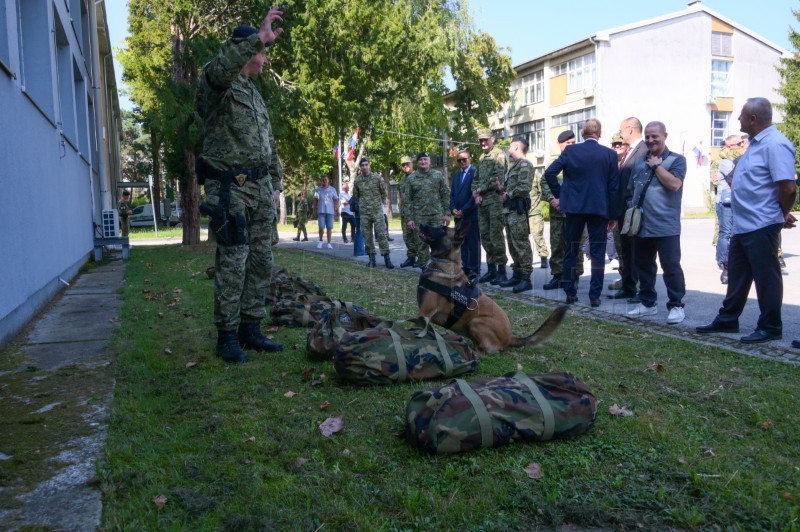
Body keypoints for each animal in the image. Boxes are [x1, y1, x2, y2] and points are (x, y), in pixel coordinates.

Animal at [416, 222, 564, 356]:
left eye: (442, 229)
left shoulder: (424, 312)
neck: (445, 264)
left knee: (483, 351)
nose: (421, 224)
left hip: (475, 322)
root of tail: (509, 337)